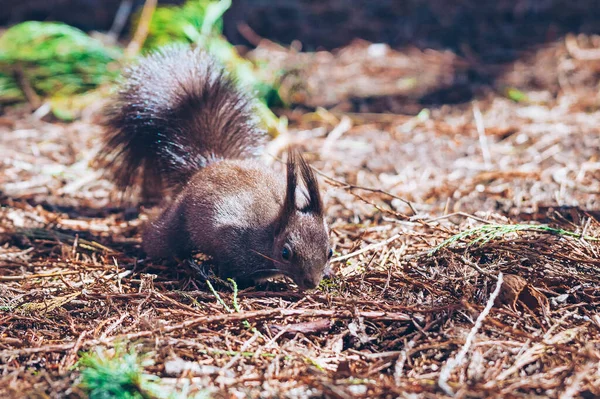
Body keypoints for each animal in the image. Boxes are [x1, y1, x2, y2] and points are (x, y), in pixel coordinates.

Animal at [99, 45, 332, 290]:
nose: (311, 283)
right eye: (286, 253)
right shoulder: (232, 239)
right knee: (158, 238)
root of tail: (208, 166)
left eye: (330, 252)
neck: (270, 231)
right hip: (178, 220)